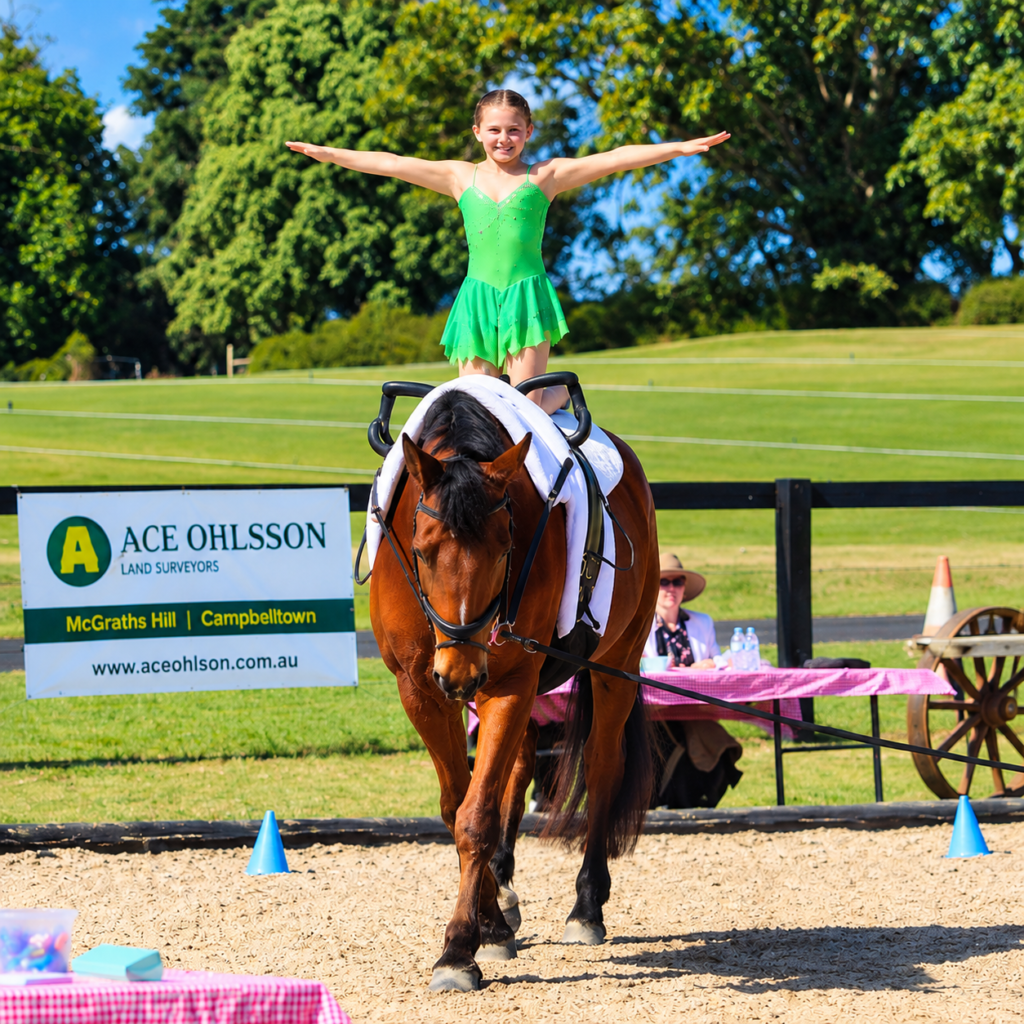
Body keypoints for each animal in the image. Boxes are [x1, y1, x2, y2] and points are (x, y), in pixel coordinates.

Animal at [369, 387, 658, 991]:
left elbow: (474, 815)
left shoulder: (511, 681)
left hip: (616, 662)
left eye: (506, 548)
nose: (458, 671)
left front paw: (459, 949)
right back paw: (503, 891)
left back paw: (586, 907)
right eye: (422, 549)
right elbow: (457, 803)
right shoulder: (419, 689)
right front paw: (489, 923)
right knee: (518, 769)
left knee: (601, 766)